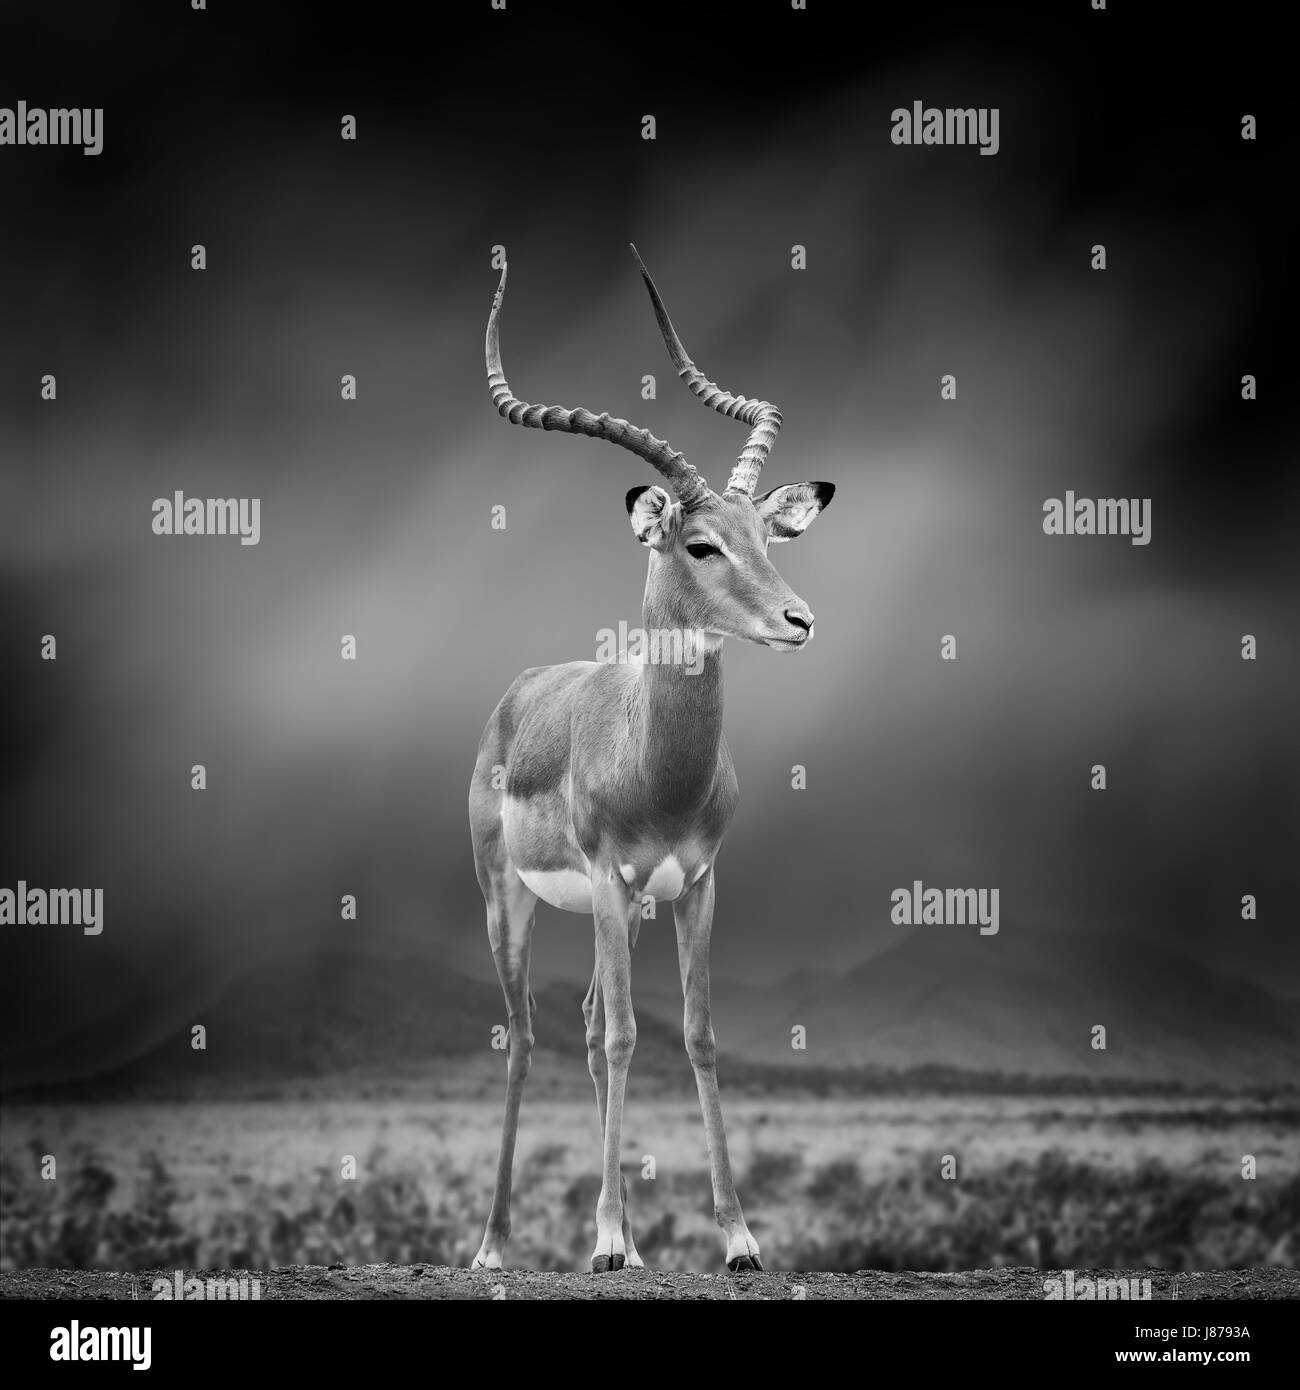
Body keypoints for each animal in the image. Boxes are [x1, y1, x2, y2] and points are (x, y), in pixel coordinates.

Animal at [469, 246, 835, 1273]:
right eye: (701, 543)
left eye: (765, 536)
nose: (799, 620)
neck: (659, 767)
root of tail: (517, 694)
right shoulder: (605, 872)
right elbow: (635, 1036)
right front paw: (601, 1240)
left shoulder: (695, 881)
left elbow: (697, 1036)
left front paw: (739, 1239)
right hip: (514, 900)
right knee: (529, 1037)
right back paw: (498, 1246)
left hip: (622, 912)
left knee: (594, 1029)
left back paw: (624, 1241)